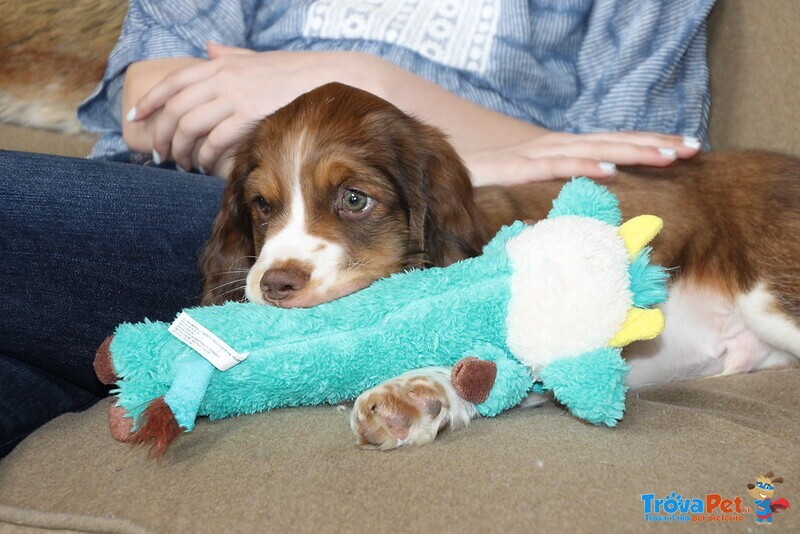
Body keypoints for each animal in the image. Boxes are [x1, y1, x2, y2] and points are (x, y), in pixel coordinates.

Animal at [202, 84, 800, 452]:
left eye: (354, 199)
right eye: (262, 204)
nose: (274, 284)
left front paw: (410, 392)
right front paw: (422, 399)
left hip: (771, 295)